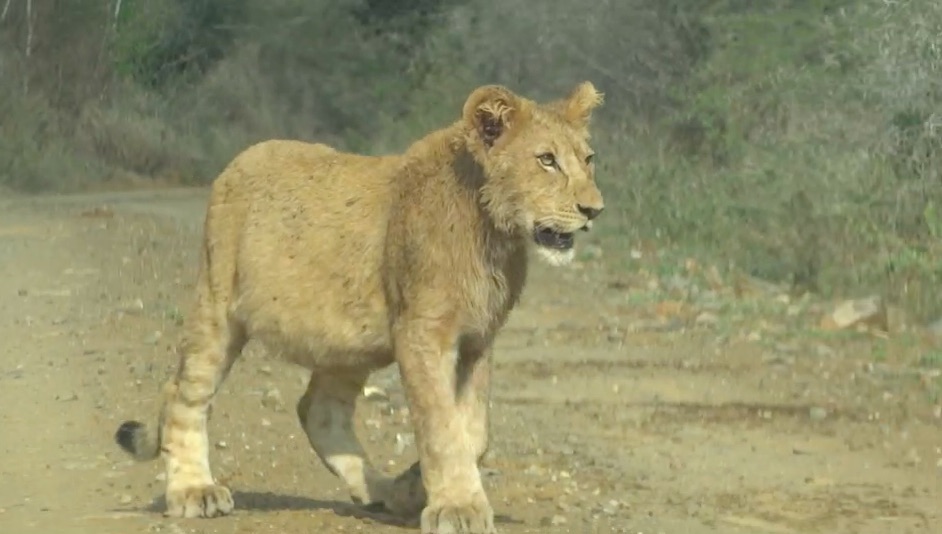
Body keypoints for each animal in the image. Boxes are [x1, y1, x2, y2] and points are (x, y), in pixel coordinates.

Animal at [114, 81, 605, 534]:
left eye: (588, 159)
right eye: (546, 160)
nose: (593, 210)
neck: (494, 236)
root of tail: (236, 162)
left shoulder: (477, 339)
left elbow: (475, 432)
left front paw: (426, 488)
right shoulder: (422, 332)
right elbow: (442, 426)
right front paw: (456, 508)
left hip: (348, 341)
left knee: (318, 410)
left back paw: (387, 491)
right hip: (217, 306)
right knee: (182, 394)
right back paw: (193, 491)